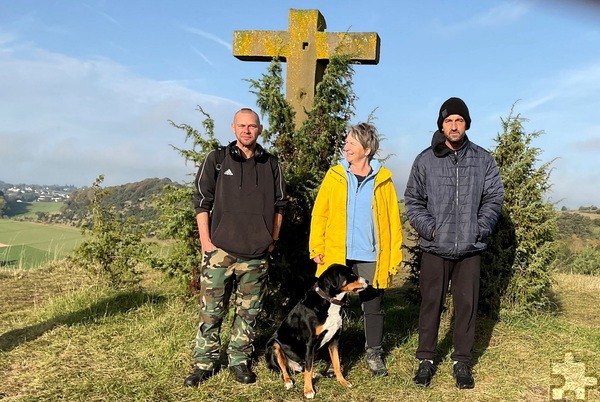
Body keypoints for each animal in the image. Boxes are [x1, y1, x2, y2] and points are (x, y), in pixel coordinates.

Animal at [266, 264, 368, 398]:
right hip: (274, 345)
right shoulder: (310, 343)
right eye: (351, 275)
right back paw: (288, 381)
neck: (329, 302)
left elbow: (336, 363)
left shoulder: (334, 340)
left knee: (303, 368)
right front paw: (308, 390)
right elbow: (308, 369)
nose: (367, 281)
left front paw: (342, 381)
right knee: (285, 369)